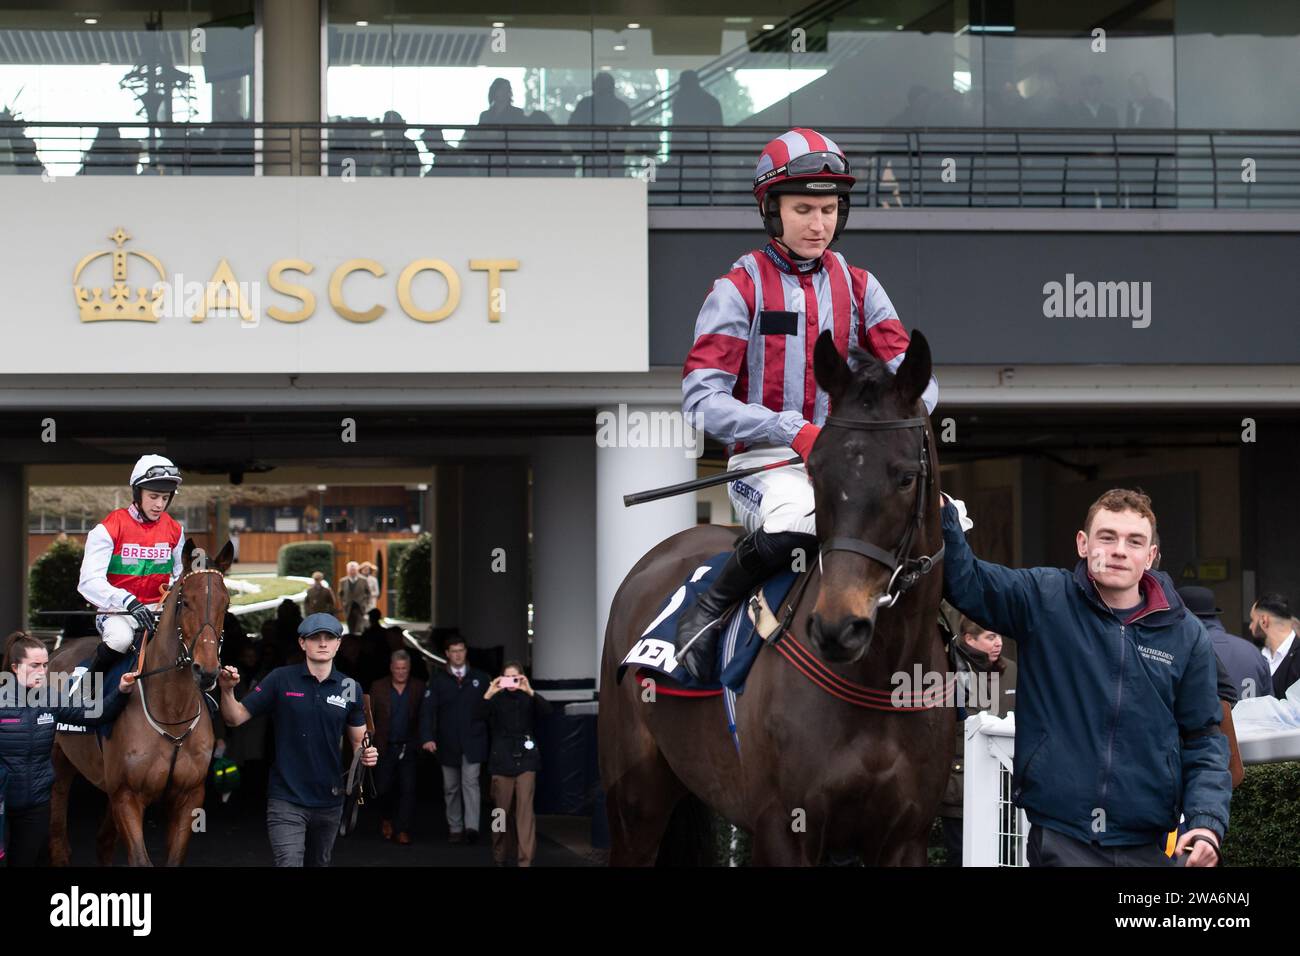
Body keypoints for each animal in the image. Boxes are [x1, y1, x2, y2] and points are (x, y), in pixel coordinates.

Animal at [48, 538, 233, 868]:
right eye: (186, 602)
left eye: (226, 604)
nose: (207, 671)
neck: (172, 713)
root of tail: (58, 650)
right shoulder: (127, 795)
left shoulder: (188, 797)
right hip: (59, 766)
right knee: (58, 841)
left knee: (104, 842)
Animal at [603, 329, 951, 868]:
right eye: (817, 471)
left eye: (905, 478)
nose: (837, 628)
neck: (880, 679)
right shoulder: (782, 830)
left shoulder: (906, 838)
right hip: (634, 798)